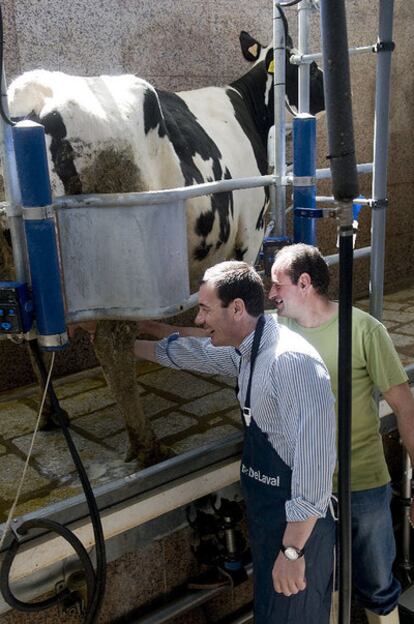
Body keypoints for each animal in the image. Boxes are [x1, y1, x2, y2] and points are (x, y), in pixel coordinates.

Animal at [4, 29, 326, 466]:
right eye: (310, 66)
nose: (325, 96)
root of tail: (34, 92)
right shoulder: (250, 231)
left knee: (30, 336)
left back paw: (53, 415)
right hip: (117, 256)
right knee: (111, 342)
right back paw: (147, 446)